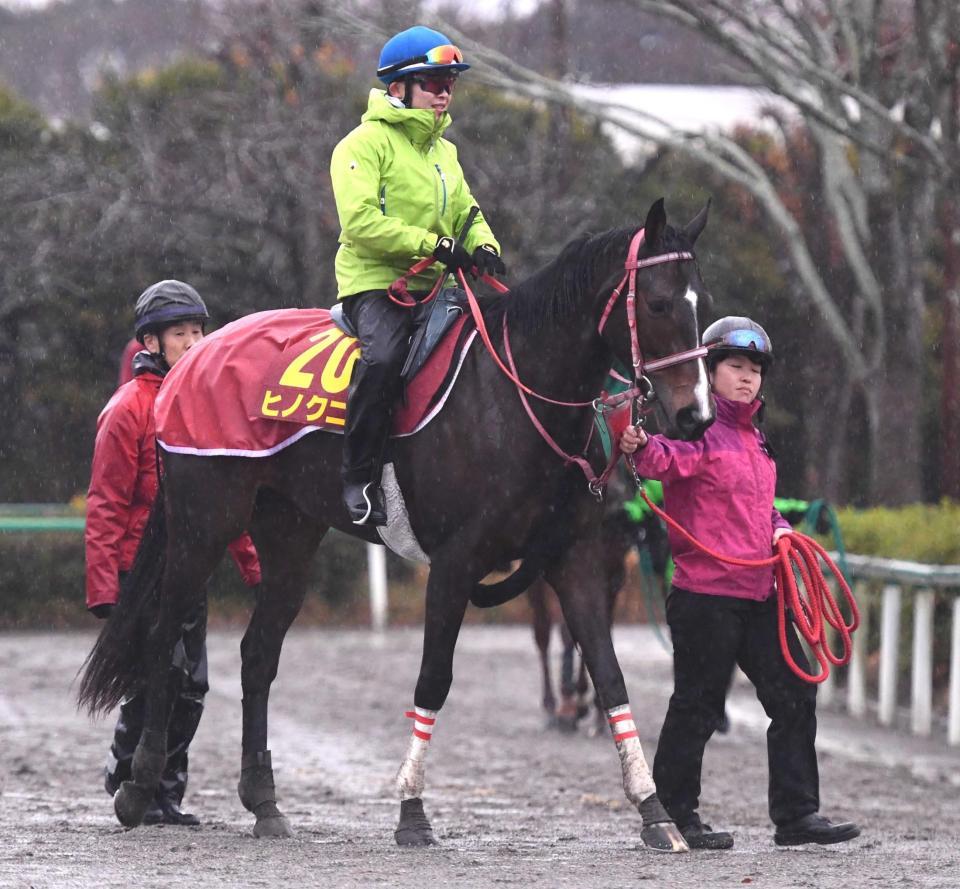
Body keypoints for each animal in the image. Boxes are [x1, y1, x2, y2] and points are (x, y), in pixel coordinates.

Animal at [80, 199, 712, 852]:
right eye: (657, 303)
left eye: (702, 301)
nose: (694, 415)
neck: (514, 399)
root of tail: (186, 367)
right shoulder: (457, 563)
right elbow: (433, 679)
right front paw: (411, 809)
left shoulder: (576, 559)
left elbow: (610, 676)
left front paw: (654, 811)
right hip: (202, 526)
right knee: (162, 638)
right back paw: (139, 785)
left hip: (289, 535)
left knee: (257, 655)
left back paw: (264, 802)